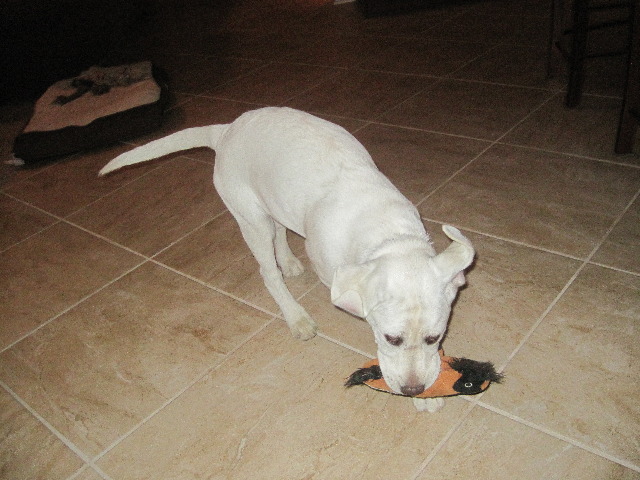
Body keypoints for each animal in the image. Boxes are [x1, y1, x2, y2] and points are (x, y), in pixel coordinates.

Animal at [100, 107, 475, 412]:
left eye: (435, 338)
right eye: (390, 339)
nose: (413, 390)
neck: (390, 238)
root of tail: (226, 129)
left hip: (274, 200)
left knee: (280, 230)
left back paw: (290, 262)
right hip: (250, 218)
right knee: (268, 271)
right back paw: (295, 315)